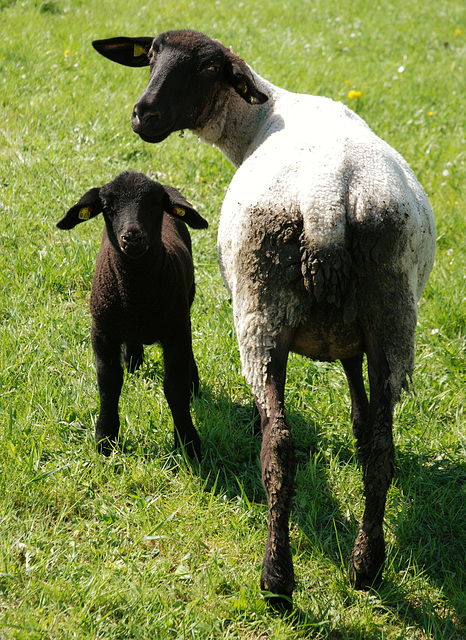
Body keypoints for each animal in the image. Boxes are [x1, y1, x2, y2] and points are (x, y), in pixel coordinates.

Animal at [56, 170, 208, 460]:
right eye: (107, 207)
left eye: (154, 204)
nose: (133, 237)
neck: (137, 294)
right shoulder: (102, 331)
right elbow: (109, 383)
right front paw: (105, 439)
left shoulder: (176, 332)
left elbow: (175, 387)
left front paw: (189, 442)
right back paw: (133, 359)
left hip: (186, 304)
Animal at [92, 30, 436, 608]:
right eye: (152, 57)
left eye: (207, 69)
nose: (143, 116)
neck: (260, 116)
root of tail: (326, 203)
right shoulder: (353, 334)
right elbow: (361, 412)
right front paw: (356, 429)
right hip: (391, 312)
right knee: (382, 450)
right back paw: (366, 566)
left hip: (260, 307)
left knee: (278, 445)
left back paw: (276, 578)